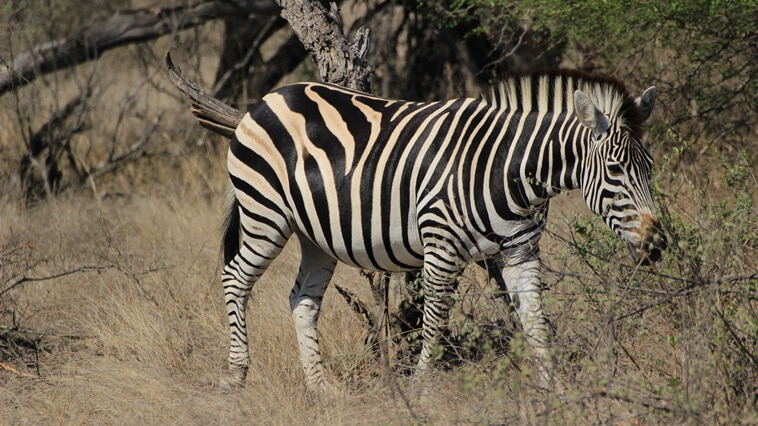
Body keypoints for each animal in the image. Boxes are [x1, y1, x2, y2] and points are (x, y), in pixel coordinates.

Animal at [199, 69, 668, 392]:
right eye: (615, 170)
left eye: (649, 167)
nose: (657, 245)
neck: (509, 170)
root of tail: (269, 97)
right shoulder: (441, 246)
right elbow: (435, 321)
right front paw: (421, 389)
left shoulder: (520, 252)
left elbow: (536, 321)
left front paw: (553, 391)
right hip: (265, 213)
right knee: (235, 278)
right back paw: (237, 374)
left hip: (316, 235)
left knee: (302, 299)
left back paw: (321, 387)